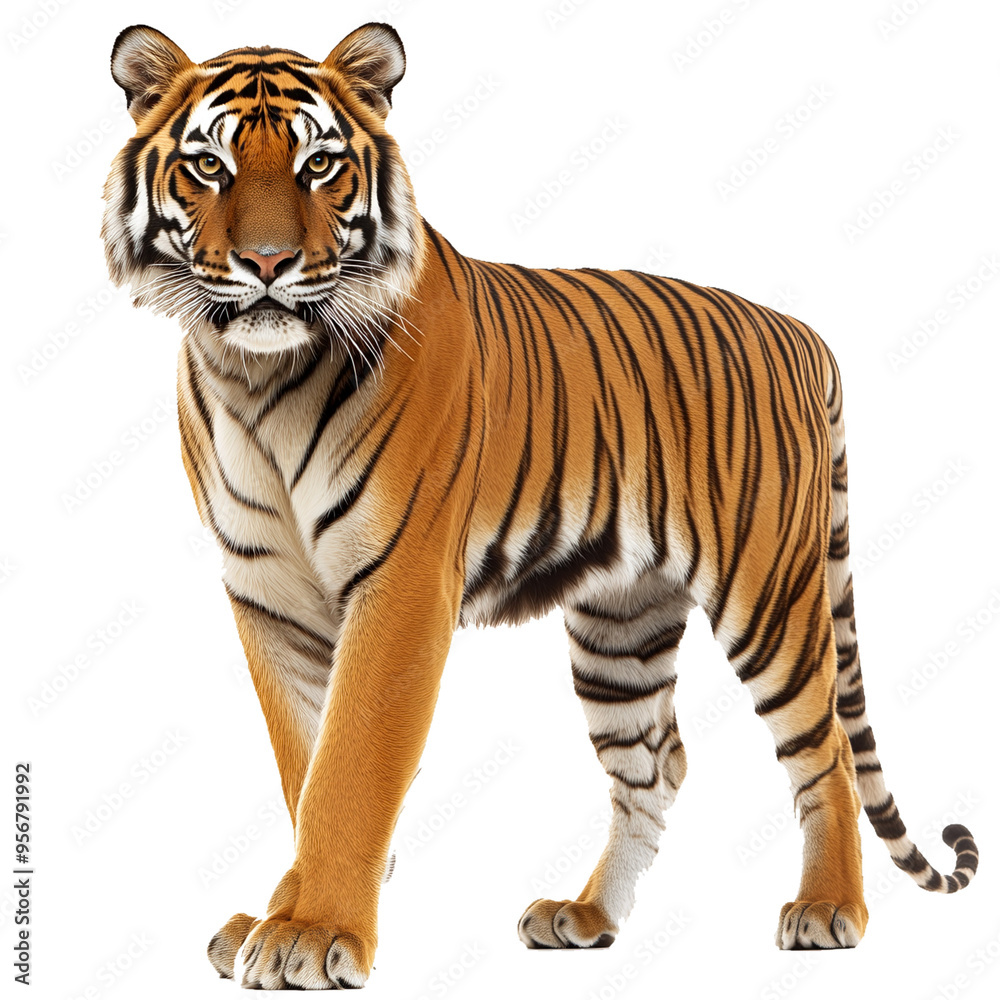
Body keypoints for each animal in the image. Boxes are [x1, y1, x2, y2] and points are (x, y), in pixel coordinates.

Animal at [102, 21, 979, 990]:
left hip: (771, 597)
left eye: (319, 164)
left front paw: (312, 934)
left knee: (824, 747)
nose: (266, 264)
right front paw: (280, 914)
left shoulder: (401, 587)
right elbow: (305, 765)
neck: (259, 379)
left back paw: (829, 910)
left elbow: (349, 770)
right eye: (209, 166)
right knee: (658, 763)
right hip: (620, 625)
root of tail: (803, 334)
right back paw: (587, 916)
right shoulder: (268, 596)